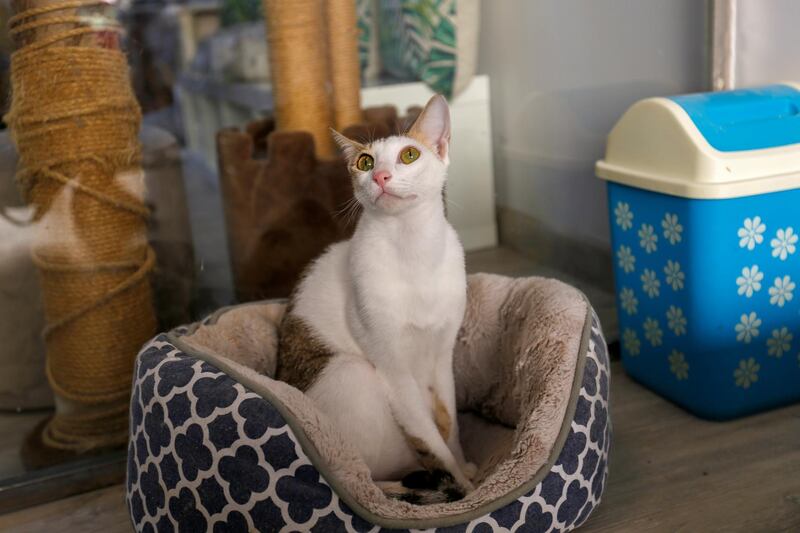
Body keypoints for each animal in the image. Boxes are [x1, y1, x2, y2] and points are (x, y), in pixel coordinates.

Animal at [276, 93, 476, 500]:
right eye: (365, 162)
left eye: (409, 155)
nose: (381, 176)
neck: (414, 248)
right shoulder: (392, 369)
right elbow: (430, 437)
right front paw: (461, 485)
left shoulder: (442, 355)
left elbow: (449, 424)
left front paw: (462, 466)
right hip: (352, 371)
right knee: (363, 477)